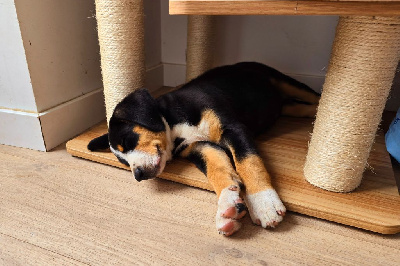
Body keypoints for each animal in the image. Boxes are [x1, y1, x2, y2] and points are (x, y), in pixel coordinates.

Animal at [89, 61, 320, 235]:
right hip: (286, 106)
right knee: (301, 108)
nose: (137, 175)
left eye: (127, 140)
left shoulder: (233, 129)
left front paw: (264, 203)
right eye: (123, 161)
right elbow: (218, 171)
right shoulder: (201, 147)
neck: (175, 125)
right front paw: (228, 204)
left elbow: (249, 163)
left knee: (315, 97)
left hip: (284, 81)